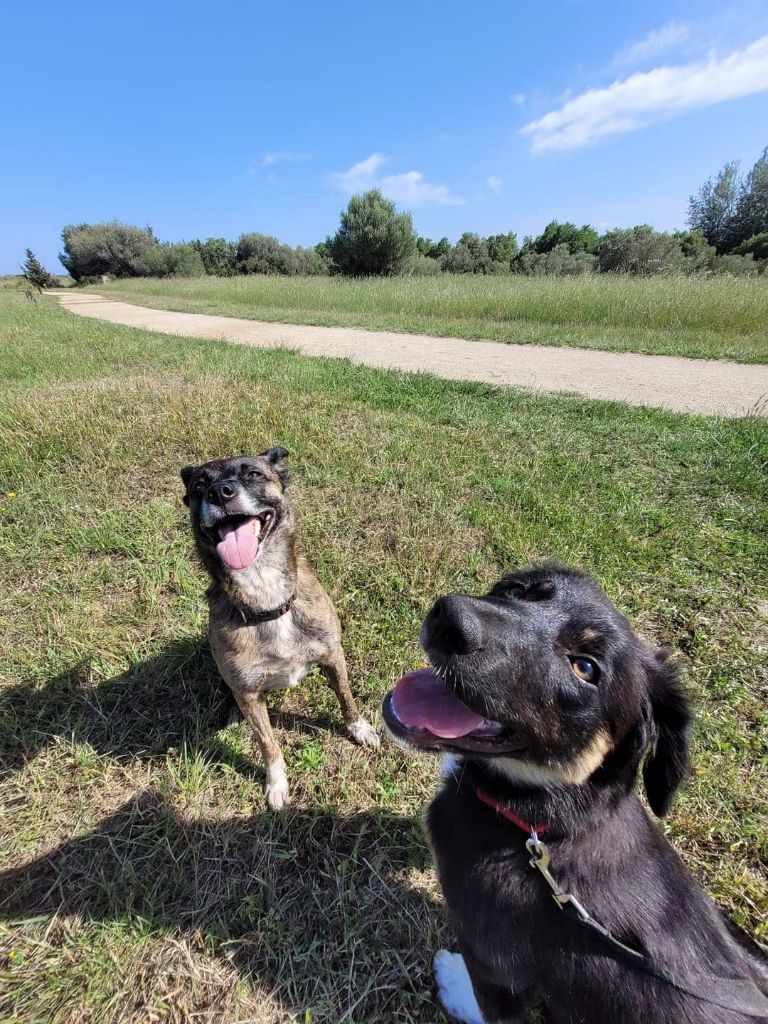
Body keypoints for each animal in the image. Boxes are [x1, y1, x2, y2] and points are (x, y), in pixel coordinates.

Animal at [184, 448, 382, 806]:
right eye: (199, 486)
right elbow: (267, 742)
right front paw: (276, 783)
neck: (266, 599)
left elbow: (346, 697)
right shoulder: (249, 694)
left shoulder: (333, 656)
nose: (219, 492)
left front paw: (359, 728)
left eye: (253, 474)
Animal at [382, 565, 765, 1024]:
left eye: (585, 667)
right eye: (520, 590)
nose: (449, 619)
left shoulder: (492, 963)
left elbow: (484, 1003)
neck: (540, 821)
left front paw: (454, 982)